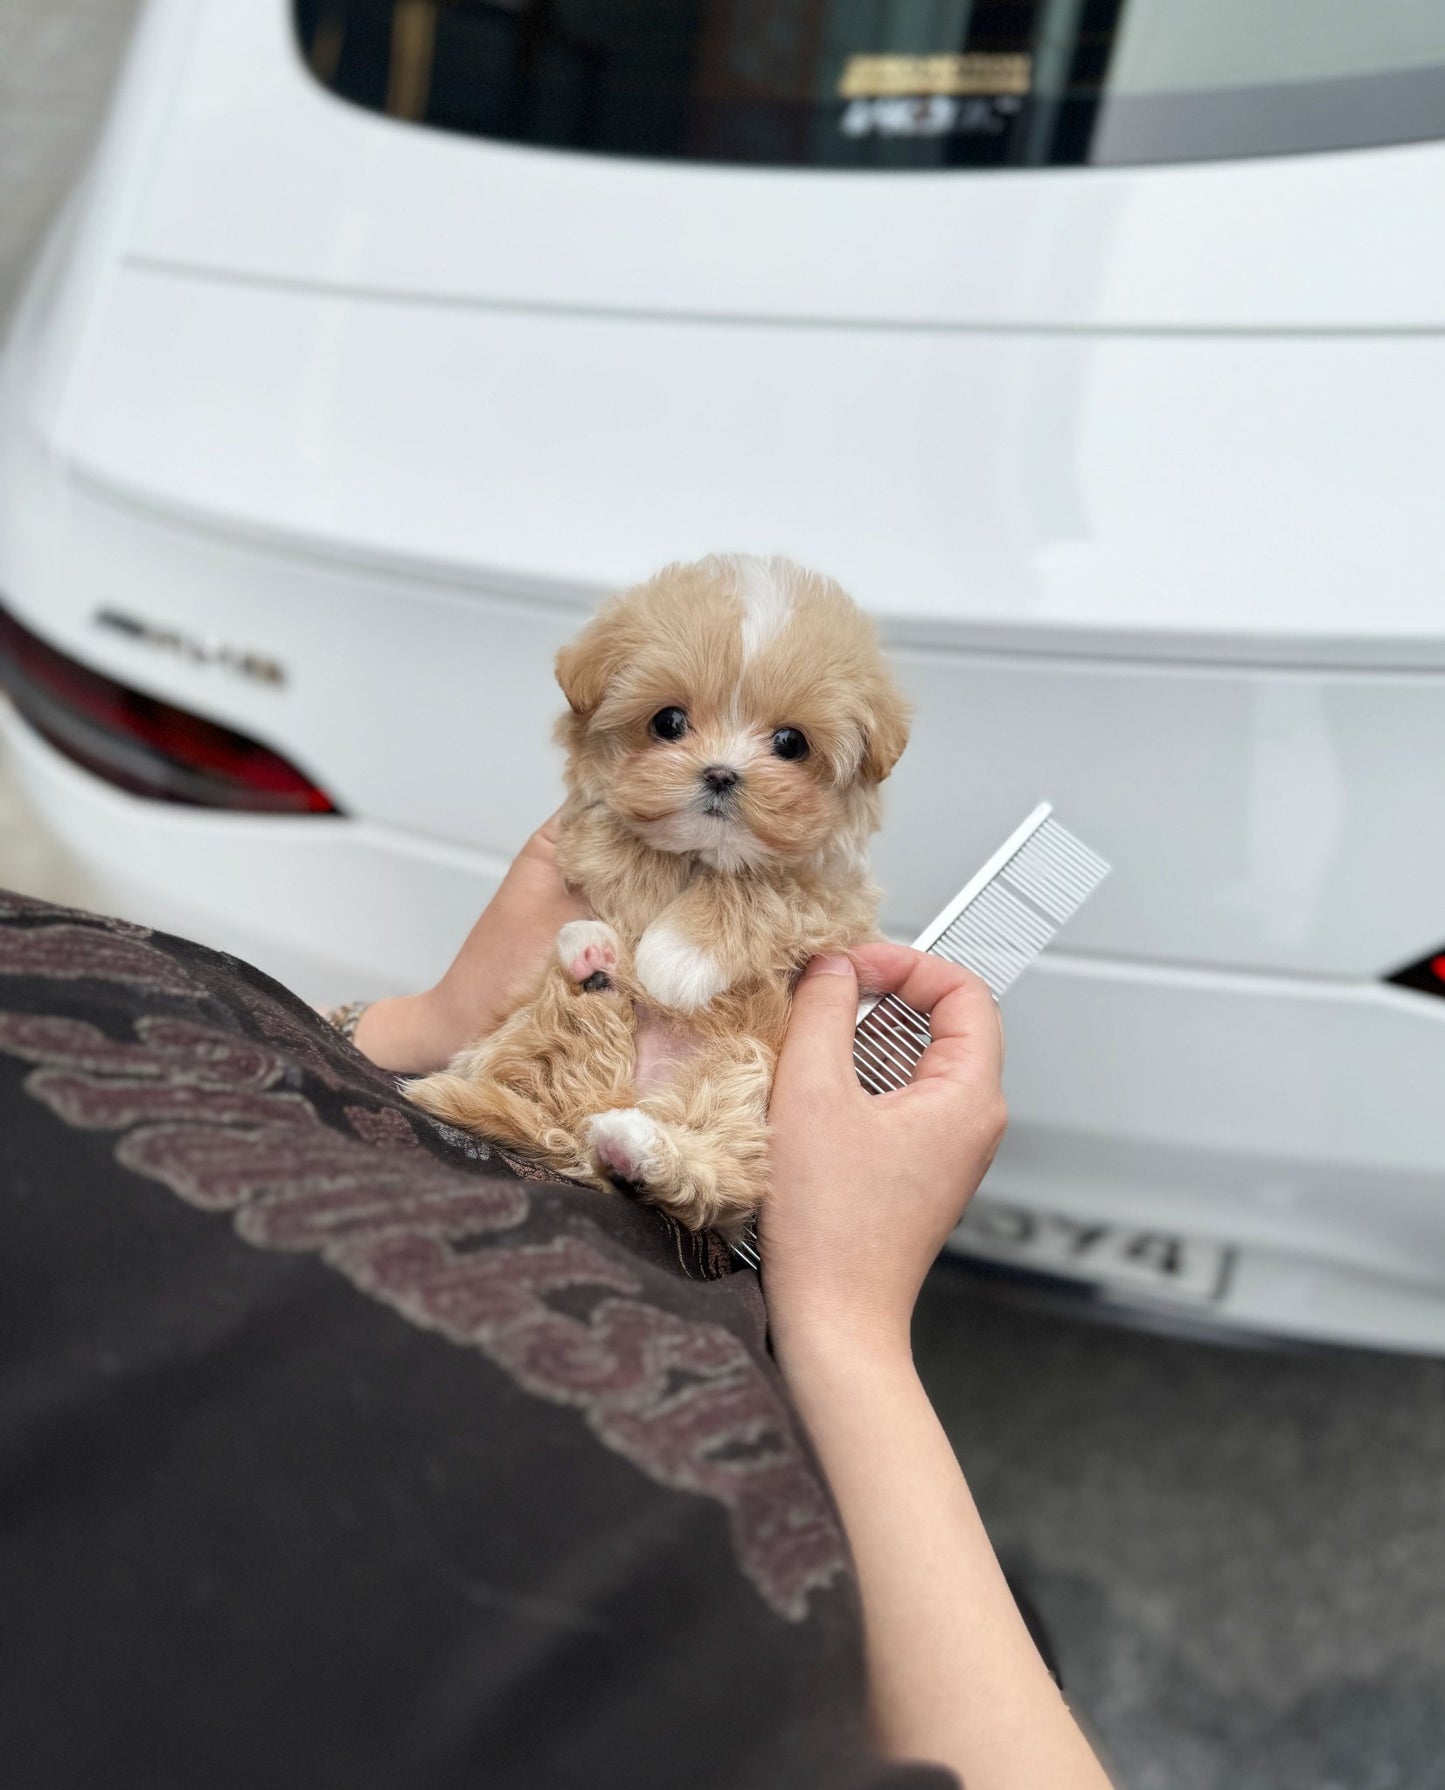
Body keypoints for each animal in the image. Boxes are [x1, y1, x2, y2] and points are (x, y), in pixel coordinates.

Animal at [404, 551, 902, 1238]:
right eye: (668, 722)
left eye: (791, 743)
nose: (720, 773)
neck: (702, 856)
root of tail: (617, 1103)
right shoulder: (588, 821)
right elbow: (623, 836)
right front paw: (640, 888)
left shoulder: (832, 892)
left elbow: (764, 886)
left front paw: (676, 957)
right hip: (534, 1034)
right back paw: (591, 961)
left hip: (741, 1082)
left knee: (713, 1173)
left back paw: (634, 1143)